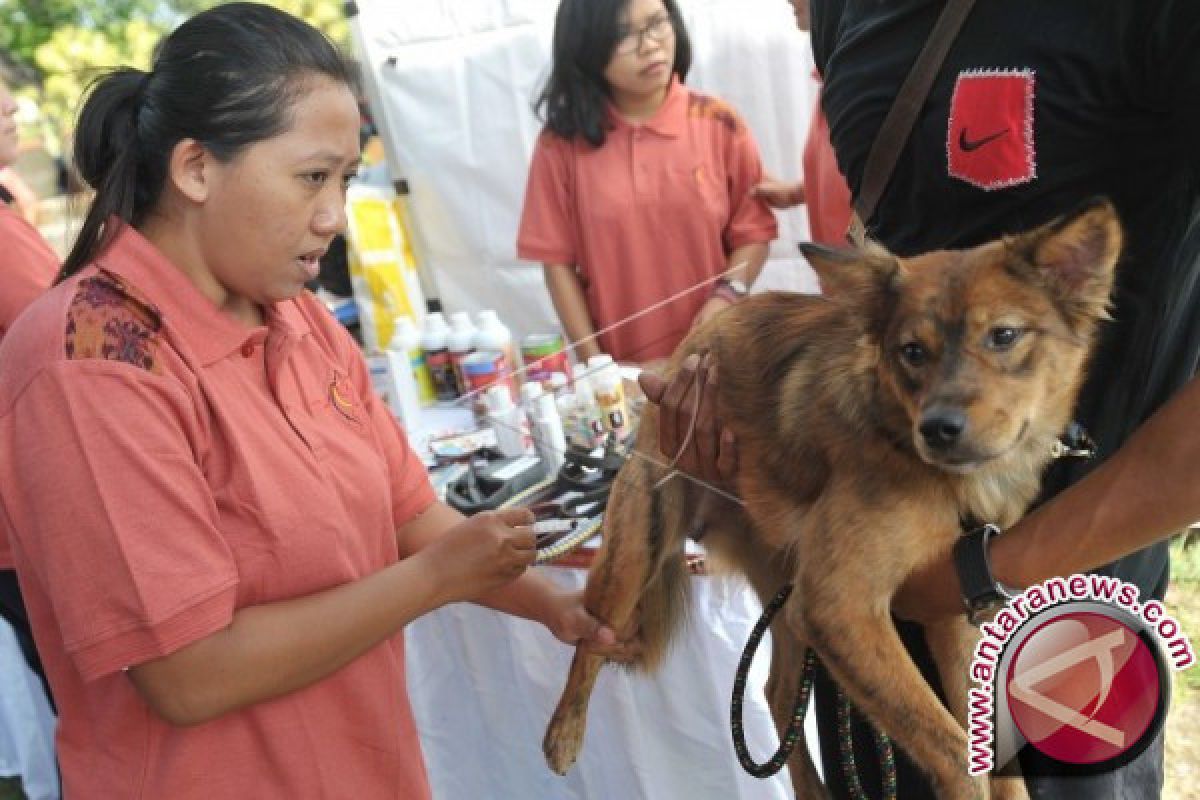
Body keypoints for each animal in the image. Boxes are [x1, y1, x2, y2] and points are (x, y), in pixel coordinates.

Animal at [540, 199, 1118, 796]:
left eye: (1004, 336)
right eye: (912, 352)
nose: (937, 429)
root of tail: (683, 352)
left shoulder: (950, 601)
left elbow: (985, 743)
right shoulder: (838, 607)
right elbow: (953, 752)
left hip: (787, 589)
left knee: (773, 689)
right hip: (641, 547)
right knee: (591, 635)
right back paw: (563, 733)